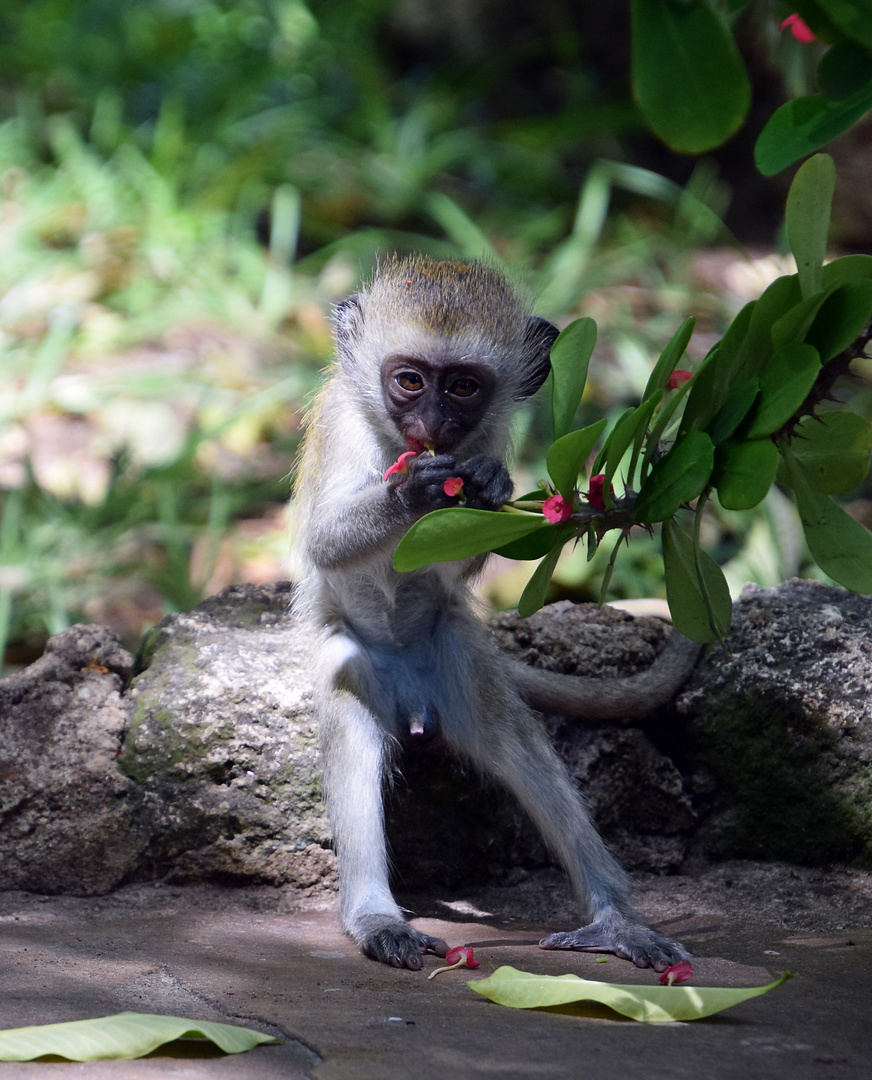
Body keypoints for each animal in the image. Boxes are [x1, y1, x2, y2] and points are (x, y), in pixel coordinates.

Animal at [296, 254, 700, 972]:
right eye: (409, 381)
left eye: (463, 387)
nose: (433, 426)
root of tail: (414, 696)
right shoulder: (344, 424)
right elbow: (324, 542)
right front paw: (413, 491)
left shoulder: (492, 434)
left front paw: (485, 486)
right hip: (356, 657)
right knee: (349, 707)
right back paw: (375, 916)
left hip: (454, 656)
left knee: (515, 741)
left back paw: (617, 921)